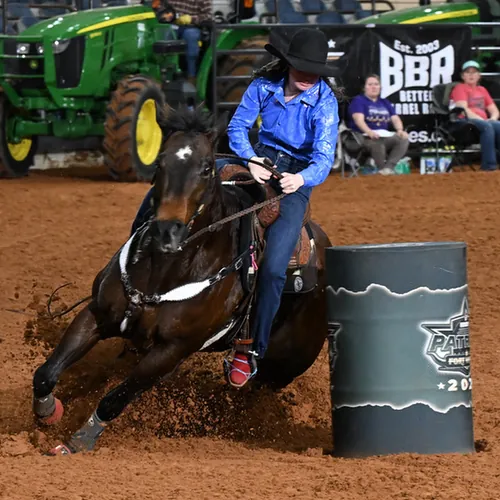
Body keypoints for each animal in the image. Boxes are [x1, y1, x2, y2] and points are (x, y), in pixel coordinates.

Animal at [31, 104, 333, 455]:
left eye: (206, 169)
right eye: (160, 163)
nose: (167, 230)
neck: (165, 271)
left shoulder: (172, 351)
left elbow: (115, 398)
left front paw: (77, 441)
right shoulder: (96, 314)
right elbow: (46, 373)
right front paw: (48, 413)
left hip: (283, 369)